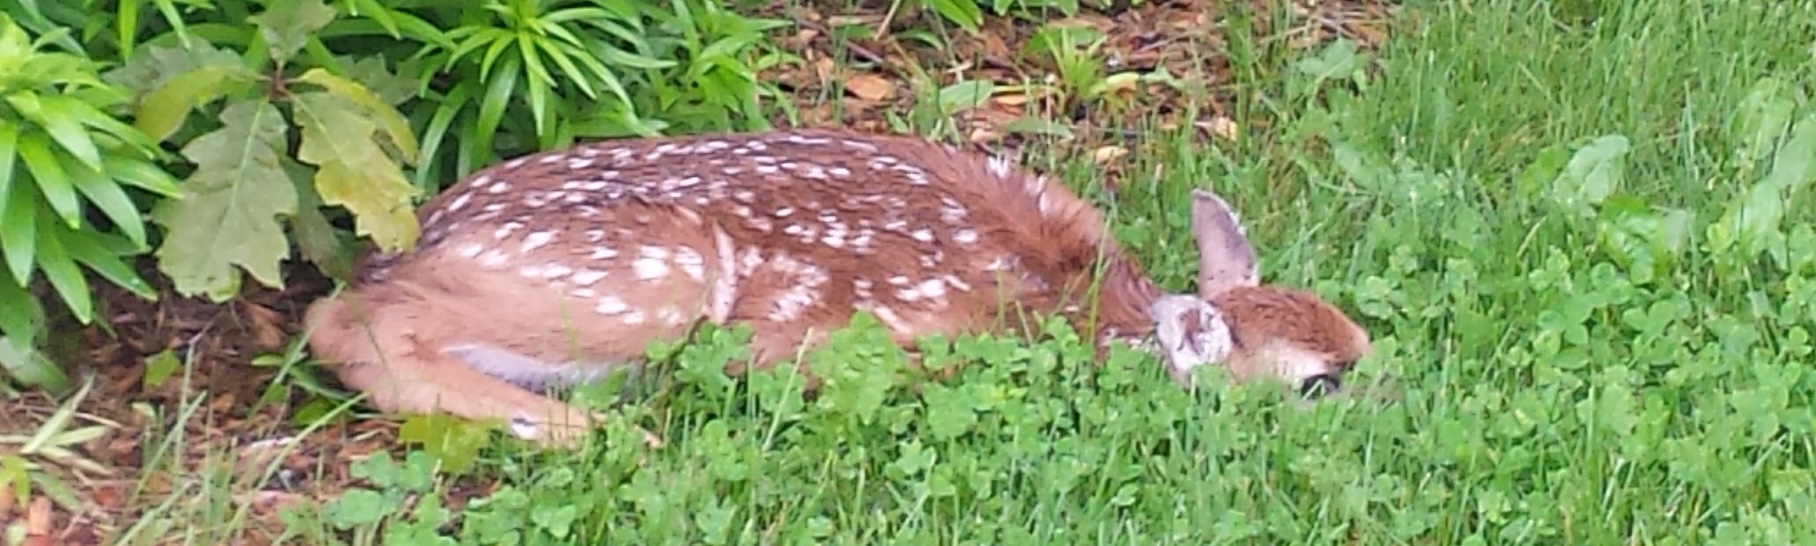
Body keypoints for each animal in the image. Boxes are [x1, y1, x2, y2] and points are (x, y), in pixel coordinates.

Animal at [305, 127, 1365, 446]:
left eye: (1360, 339)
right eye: (1319, 386)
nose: (1386, 395)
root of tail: (411, 241)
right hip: (652, 279)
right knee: (344, 321)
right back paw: (597, 431)